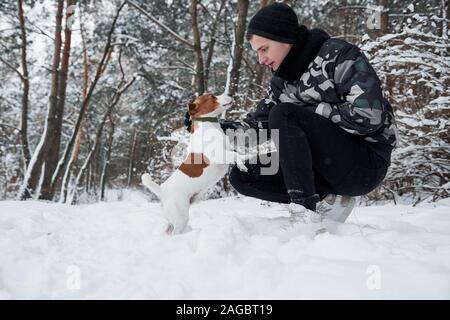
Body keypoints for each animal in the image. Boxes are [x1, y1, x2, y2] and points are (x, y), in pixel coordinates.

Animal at [142, 92, 248, 235]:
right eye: (212, 96)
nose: (230, 94)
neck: (208, 125)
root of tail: (162, 191)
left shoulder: (228, 149)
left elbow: (237, 152)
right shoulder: (220, 154)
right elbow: (235, 155)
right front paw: (242, 165)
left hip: (172, 219)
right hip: (180, 217)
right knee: (175, 232)